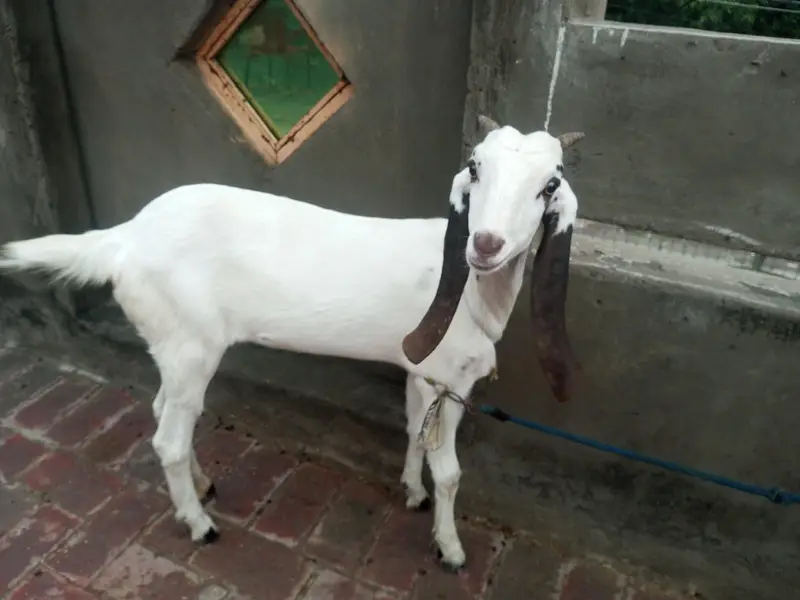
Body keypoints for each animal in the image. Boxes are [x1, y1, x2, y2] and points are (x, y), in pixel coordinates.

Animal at [0, 115, 583, 571]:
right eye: (476, 167)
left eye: (550, 184)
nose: (486, 244)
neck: (470, 290)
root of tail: (122, 239)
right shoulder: (446, 374)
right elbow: (450, 472)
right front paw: (451, 548)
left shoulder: (420, 370)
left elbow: (415, 431)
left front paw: (412, 491)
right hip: (191, 346)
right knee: (168, 438)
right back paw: (199, 523)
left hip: (174, 343)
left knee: (165, 409)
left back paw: (202, 485)